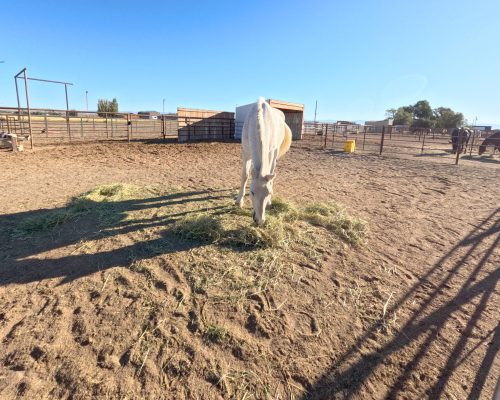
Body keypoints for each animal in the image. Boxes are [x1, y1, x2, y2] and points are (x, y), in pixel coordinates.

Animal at [235, 95, 292, 223]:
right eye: (252, 192)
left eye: (268, 193)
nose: (260, 221)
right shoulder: (246, 152)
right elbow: (245, 175)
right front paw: (239, 201)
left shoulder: (271, 152)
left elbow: (269, 174)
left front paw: (269, 201)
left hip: (275, 154)